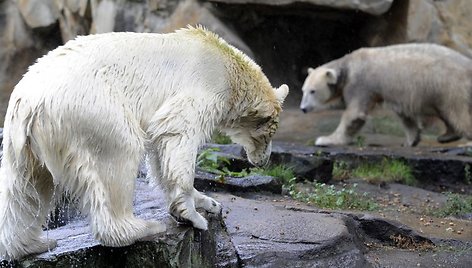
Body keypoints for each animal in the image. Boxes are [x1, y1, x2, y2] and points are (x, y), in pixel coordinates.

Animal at [0, 25, 290, 260]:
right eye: (269, 133)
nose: (263, 161)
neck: (228, 67)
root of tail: (30, 102)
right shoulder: (204, 85)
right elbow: (177, 131)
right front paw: (192, 216)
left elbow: (161, 149)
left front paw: (209, 202)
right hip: (91, 109)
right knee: (118, 155)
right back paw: (142, 228)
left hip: (21, 139)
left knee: (25, 187)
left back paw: (32, 244)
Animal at [300, 43, 472, 147]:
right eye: (303, 90)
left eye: (312, 91)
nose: (302, 108)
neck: (347, 67)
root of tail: (468, 64)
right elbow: (405, 115)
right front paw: (411, 140)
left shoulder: (360, 83)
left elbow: (354, 114)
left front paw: (326, 139)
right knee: (446, 112)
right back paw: (447, 135)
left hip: (449, 84)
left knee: (457, 113)